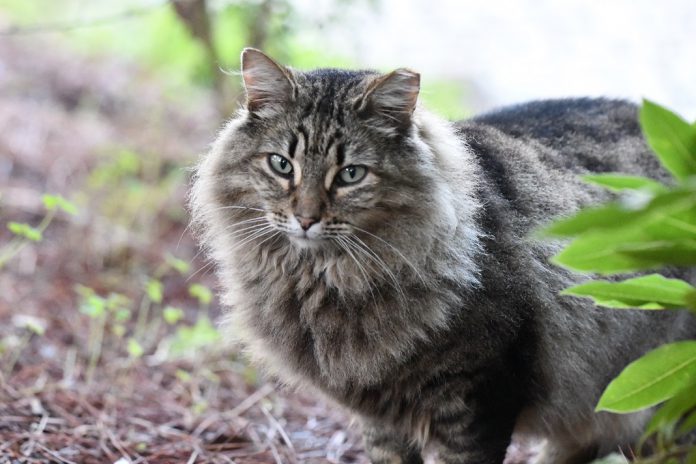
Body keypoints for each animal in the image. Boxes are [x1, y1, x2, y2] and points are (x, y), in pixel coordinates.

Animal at [190, 49, 696, 462]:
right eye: (281, 165)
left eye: (351, 174)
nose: (306, 218)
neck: (327, 282)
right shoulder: (379, 415)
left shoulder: (479, 397)